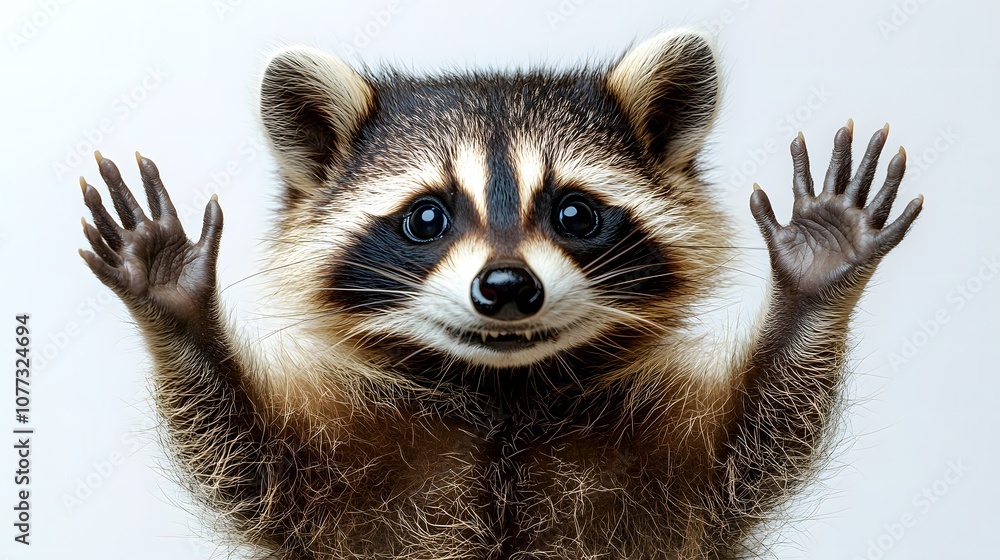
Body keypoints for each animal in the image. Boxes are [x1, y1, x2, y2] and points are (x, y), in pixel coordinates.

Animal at [78, 29, 922, 559]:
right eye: (426, 217)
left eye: (575, 214)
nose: (509, 286)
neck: (503, 396)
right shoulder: (335, 491)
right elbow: (245, 462)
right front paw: (179, 314)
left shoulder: (679, 481)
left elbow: (761, 441)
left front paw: (814, 289)